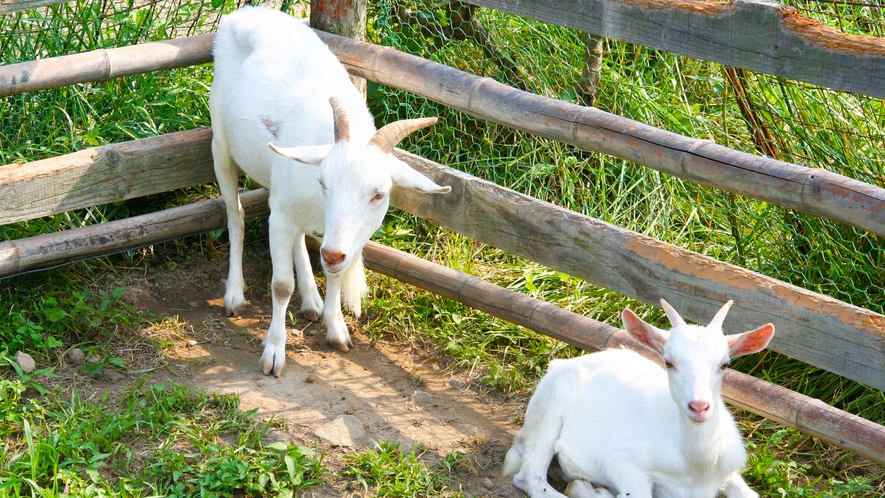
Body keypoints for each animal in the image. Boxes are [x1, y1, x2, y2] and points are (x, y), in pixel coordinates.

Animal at [212, 6, 452, 378]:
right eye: (324, 183)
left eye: (379, 194)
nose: (332, 253)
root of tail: (248, 12)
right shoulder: (282, 215)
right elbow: (281, 285)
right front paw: (274, 352)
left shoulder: (343, 235)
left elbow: (335, 273)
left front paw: (336, 326)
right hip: (220, 145)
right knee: (236, 217)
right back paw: (235, 294)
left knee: (298, 238)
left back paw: (311, 299)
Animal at [504, 300, 772, 498]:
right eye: (669, 362)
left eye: (724, 364)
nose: (699, 407)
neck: (697, 467)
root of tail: (561, 364)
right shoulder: (625, 466)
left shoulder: (730, 471)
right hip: (553, 403)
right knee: (530, 477)